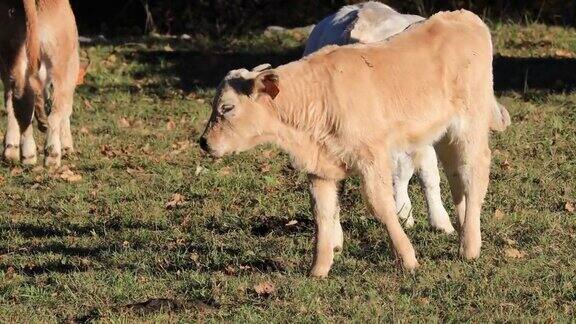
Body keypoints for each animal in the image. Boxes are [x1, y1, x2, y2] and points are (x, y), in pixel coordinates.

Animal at [0, 0, 79, 167]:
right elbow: (66, 110)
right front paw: (67, 147)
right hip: (59, 65)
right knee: (56, 110)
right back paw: (52, 156)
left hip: (13, 56)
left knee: (21, 105)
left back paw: (26, 156)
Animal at [200, 10, 506, 278]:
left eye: (227, 108)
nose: (203, 142)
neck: (316, 97)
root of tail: (462, 16)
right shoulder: (321, 167)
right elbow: (323, 213)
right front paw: (318, 269)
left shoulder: (372, 158)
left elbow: (381, 206)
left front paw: (407, 258)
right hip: (444, 133)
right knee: (456, 177)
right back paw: (465, 229)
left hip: (470, 124)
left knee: (474, 173)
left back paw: (469, 247)